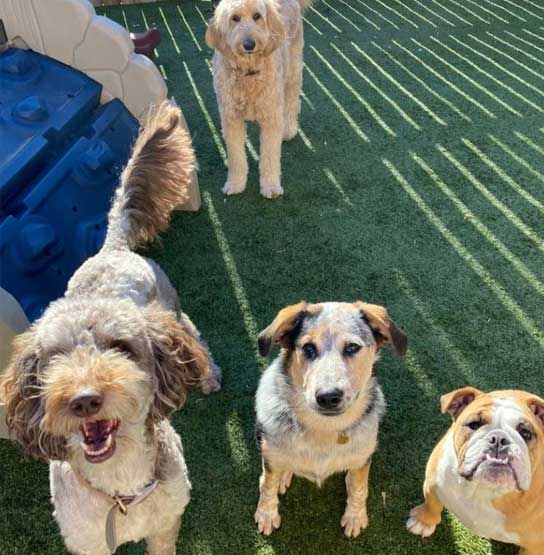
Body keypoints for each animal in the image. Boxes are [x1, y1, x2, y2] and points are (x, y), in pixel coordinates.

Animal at [0, 102, 221, 552]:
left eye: (121, 347)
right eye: (54, 358)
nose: (83, 400)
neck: (120, 490)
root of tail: (112, 246)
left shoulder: (166, 523)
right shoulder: (87, 542)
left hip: (170, 308)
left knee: (193, 333)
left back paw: (209, 375)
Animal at [205, 0, 314, 200]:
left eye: (257, 16)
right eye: (234, 18)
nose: (249, 44)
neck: (248, 73)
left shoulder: (271, 116)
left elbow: (270, 156)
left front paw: (270, 186)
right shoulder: (231, 117)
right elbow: (236, 156)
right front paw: (235, 183)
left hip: (292, 72)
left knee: (292, 102)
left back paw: (289, 129)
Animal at [253, 302, 406, 536]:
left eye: (352, 347)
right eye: (308, 348)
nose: (327, 396)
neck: (323, 428)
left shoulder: (363, 458)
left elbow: (359, 487)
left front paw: (355, 516)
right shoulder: (269, 455)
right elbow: (267, 485)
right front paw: (267, 515)